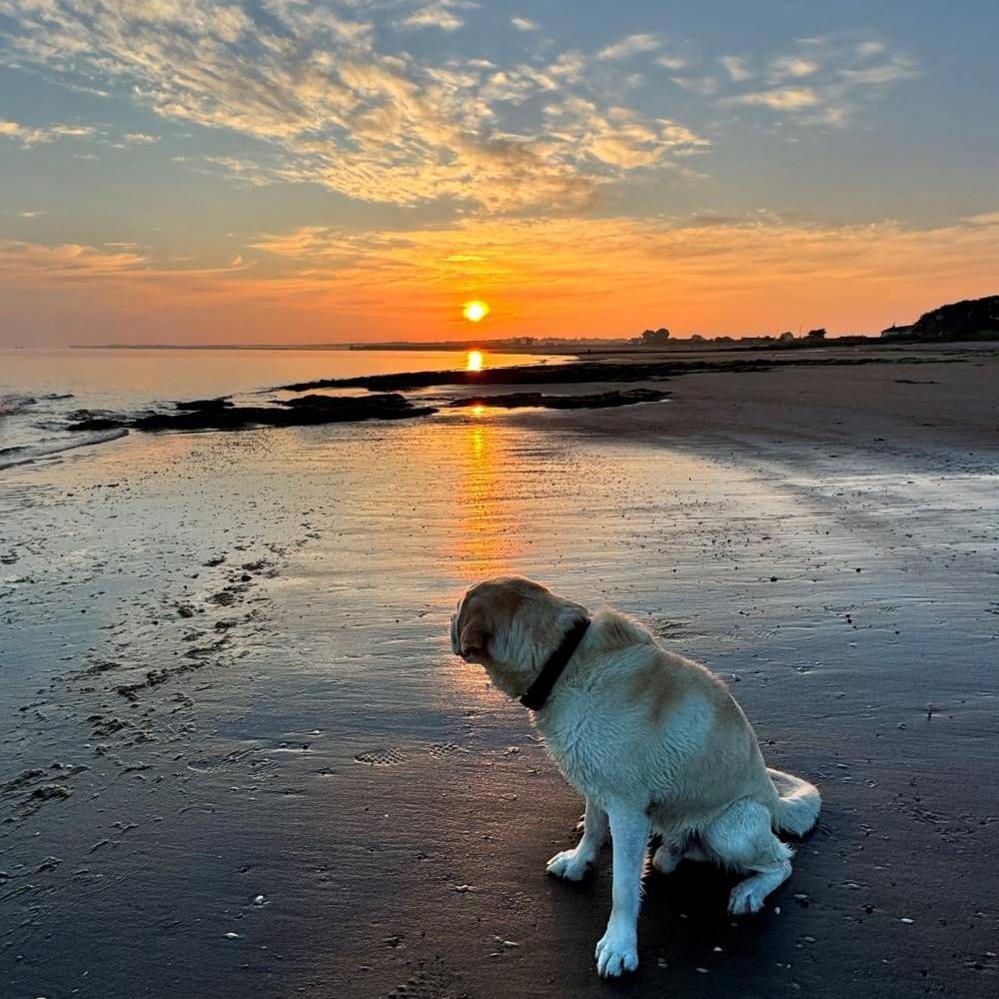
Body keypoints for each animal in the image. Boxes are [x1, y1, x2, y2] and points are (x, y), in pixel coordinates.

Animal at [454, 580, 820, 976]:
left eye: (459, 609)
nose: (448, 622)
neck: (564, 661)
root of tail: (774, 799)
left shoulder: (628, 810)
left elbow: (623, 889)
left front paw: (619, 945)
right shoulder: (596, 783)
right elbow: (593, 828)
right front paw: (578, 862)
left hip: (732, 827)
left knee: (782, 861)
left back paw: (749, 890)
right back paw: (672, 853)